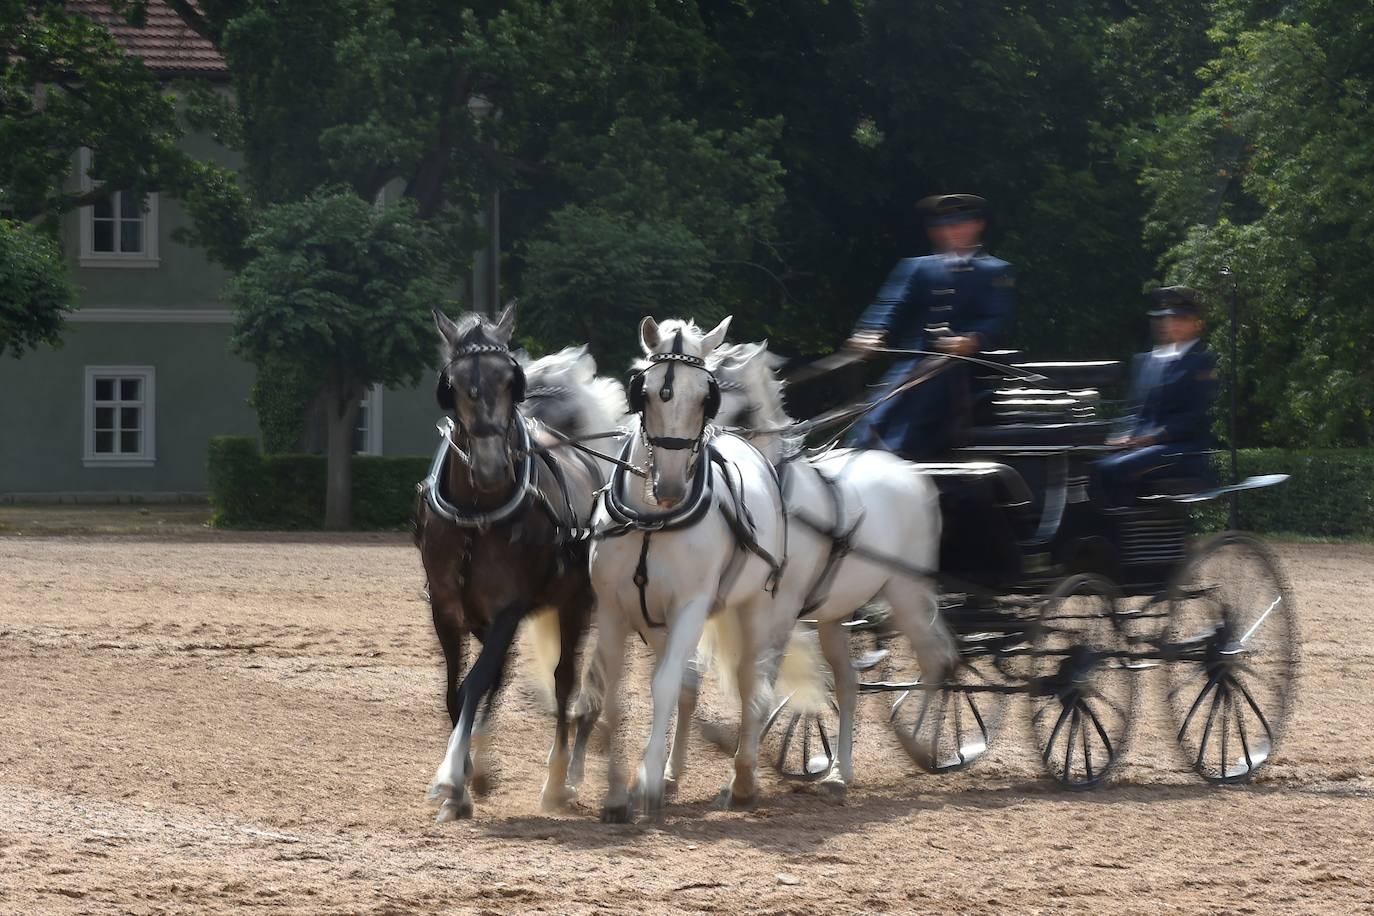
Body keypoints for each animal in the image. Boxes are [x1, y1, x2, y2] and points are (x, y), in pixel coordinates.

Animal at [414, 304, 604, 818]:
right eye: (454, 383)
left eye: (509, 379)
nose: (491, 467)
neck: (476, 515)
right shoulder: (447, 609)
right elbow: (456, 691)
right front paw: (467, 778)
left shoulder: (509, 608)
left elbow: (475, 683)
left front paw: (451, 779)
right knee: (501, 675)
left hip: (575, 606)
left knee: (564, 682)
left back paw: (558, 781)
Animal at [585, 317, 791, 823]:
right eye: (645, 391)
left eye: (705, 396)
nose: (672, 488)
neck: (651, 520)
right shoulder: (614, 610)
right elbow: (613, 692)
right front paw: (620, 791)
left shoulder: (691, 607)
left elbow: (660, 688)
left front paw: (646, 785)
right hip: (659, 624)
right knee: (687, 685)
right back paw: (674, 773)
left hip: (754, 608)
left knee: (749, 684)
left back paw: (742, 780)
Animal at [703, 340, 961, 796]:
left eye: (715, 390)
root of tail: (910, 471)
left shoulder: (780, 610)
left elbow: (761, 681)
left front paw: (745, 768)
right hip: (834, 613)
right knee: (850, 681)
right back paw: (842, 770)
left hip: (906, 591)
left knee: (937, 659)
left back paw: (920, 745)